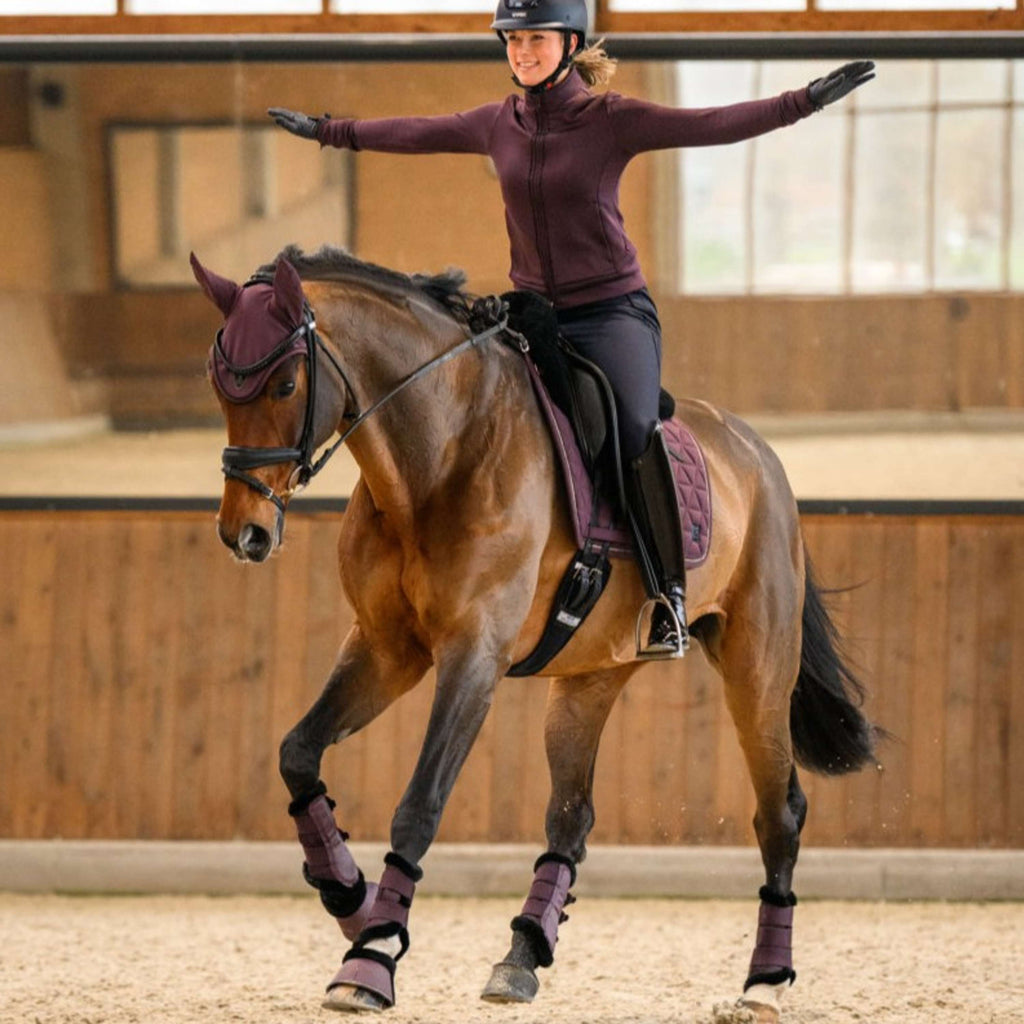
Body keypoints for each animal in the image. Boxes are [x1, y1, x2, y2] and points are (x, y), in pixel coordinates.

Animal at [191, 244, 877, 1022]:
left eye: (283, 382)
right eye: (219, 385)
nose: (244, 533)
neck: (440, 451)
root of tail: (760, 454)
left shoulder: (473, 656)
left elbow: (419, 805)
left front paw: (371, 957)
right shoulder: (386, 647)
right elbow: (298, 753)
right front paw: (350, 896)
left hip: (756, 666)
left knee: (779, 813)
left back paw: (763, 982)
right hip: (590, 677)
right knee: (571, 817)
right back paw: (521, 956)